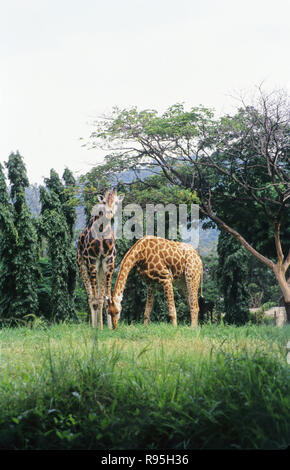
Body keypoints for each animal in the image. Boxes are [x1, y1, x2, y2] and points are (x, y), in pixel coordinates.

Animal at [76, 189, 123, 328]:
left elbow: (106, 297)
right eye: (103, 202)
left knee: (101, 297)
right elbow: (95, 299)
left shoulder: (109, 260)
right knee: (91, 298)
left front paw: (110, 327)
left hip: (101, 268)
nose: (110, 213)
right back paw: (95, 326)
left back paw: (102, 326)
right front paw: (96, 328)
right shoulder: (92, 260)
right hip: (83, 266)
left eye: (116, 202)